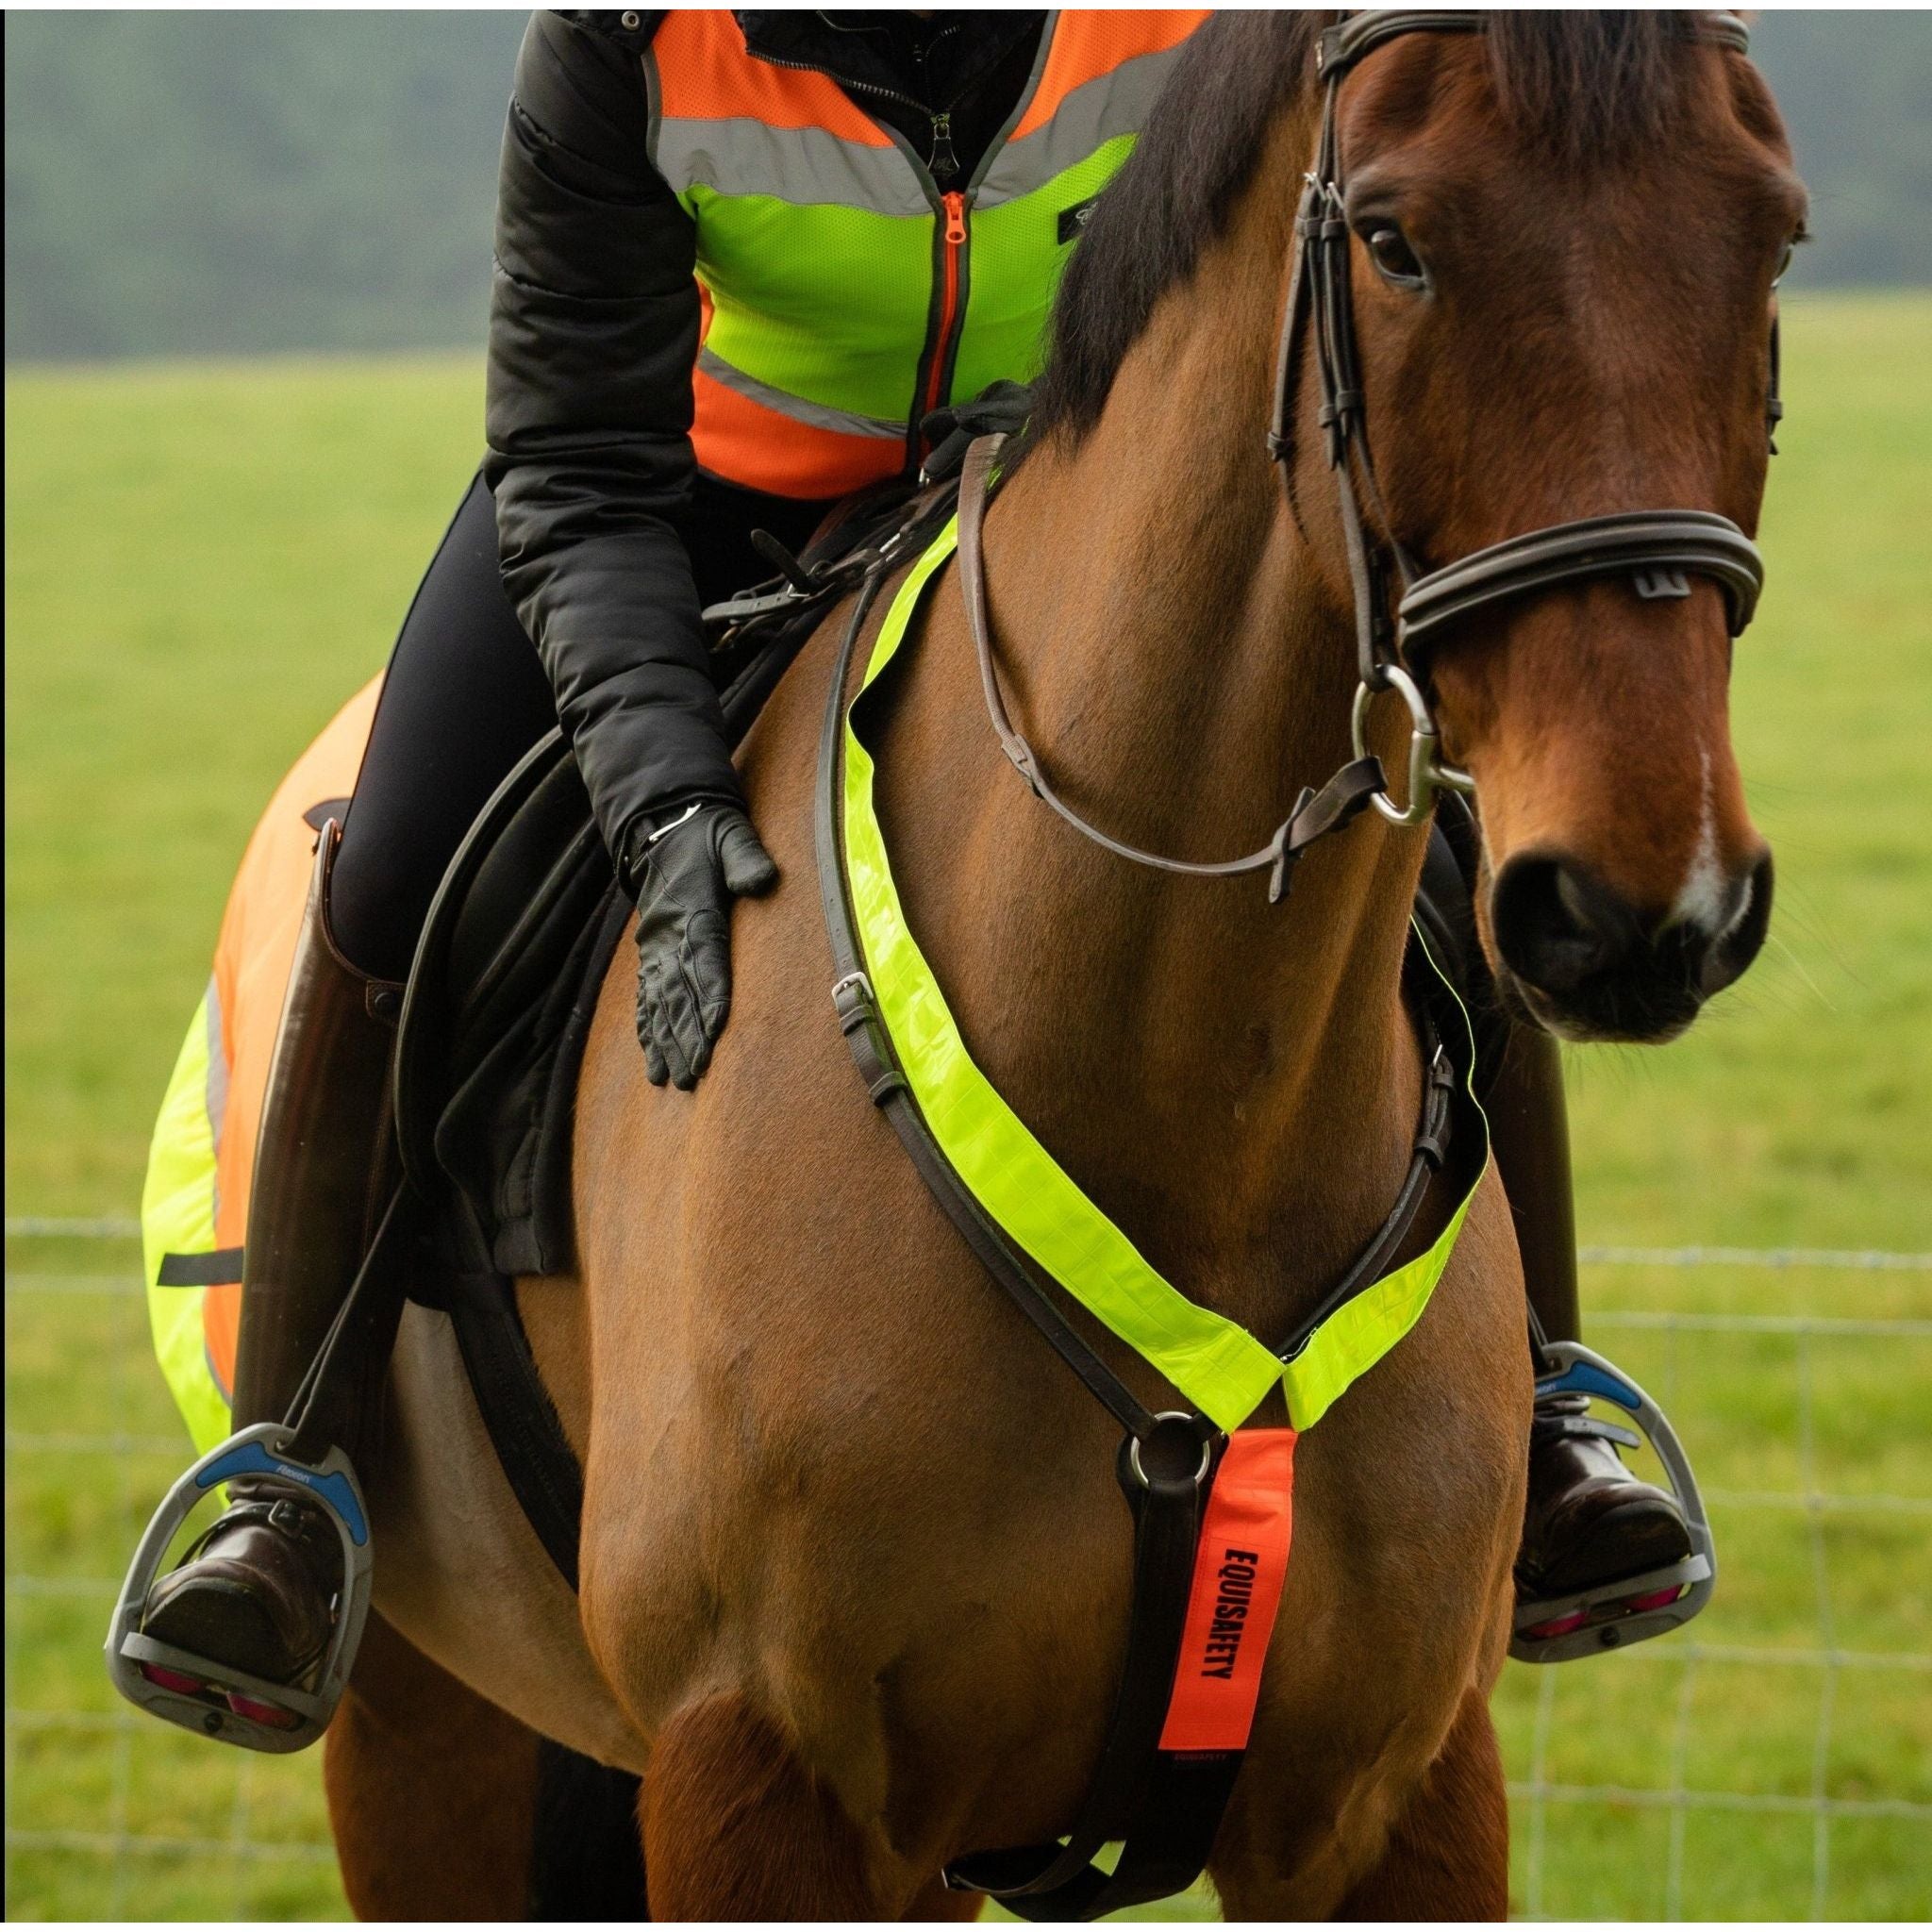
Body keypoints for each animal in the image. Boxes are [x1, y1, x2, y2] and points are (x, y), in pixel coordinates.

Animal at [312, 11, 1792, 1916]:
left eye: (1772, 236)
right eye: (1395, 243)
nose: (1639, 900)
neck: (1187, 1109)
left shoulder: (1396, 1788)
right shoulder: (760, 1779)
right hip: (424, 1728)